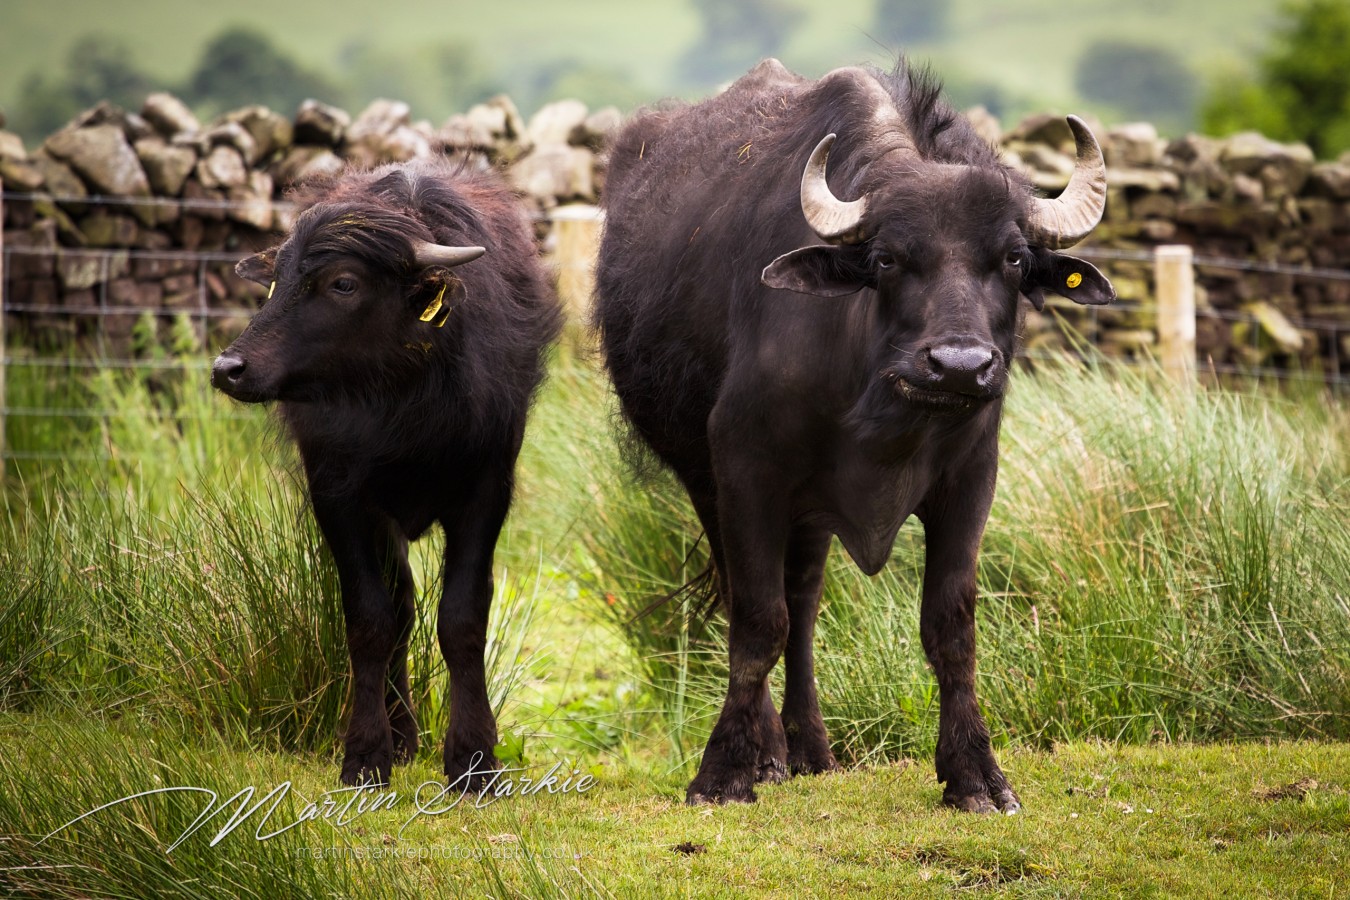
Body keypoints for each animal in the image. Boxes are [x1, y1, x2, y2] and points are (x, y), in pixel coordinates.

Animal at [212, 158, 561, 786]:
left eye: (343, 284)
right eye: (275, 281)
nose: (228, 368)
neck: (405, 404)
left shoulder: (486, 493)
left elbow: (462, 618)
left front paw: (474, 758)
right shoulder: (339, 498)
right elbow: (370, 620)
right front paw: (367, 753)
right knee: (398, 608)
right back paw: (400, 735)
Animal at [595, 59, 1114, 812]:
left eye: (1015, 259)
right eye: (890, 258)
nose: (960, 365)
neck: (878, 405)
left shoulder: (971, 479)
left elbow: (951, 626)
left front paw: (976, 775)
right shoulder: (745, 472)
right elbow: (757, 623)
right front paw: (726, 771)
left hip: (808, 514)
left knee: (805, 602)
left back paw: (809, 749)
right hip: (706, 479)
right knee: (766, 602)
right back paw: (772, 754)